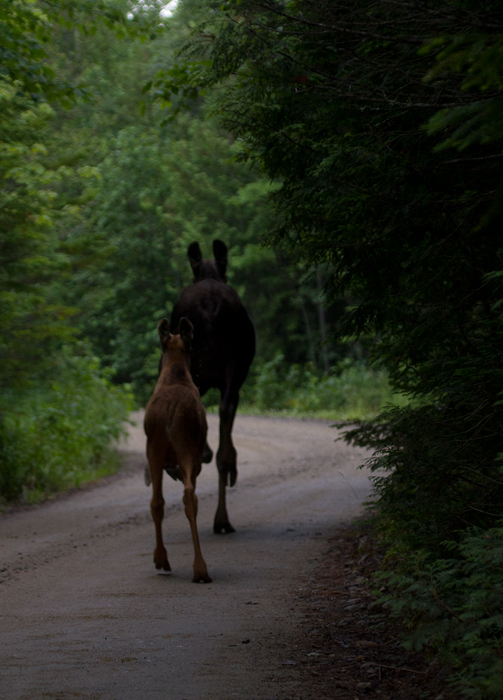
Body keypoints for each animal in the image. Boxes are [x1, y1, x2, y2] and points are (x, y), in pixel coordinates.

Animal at [144, 317, 212, 583]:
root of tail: (171, 409)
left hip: (154, 448)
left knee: (157, 501)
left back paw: (163, 559)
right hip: (187, 449)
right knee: (189, 496)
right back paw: (200, 567)